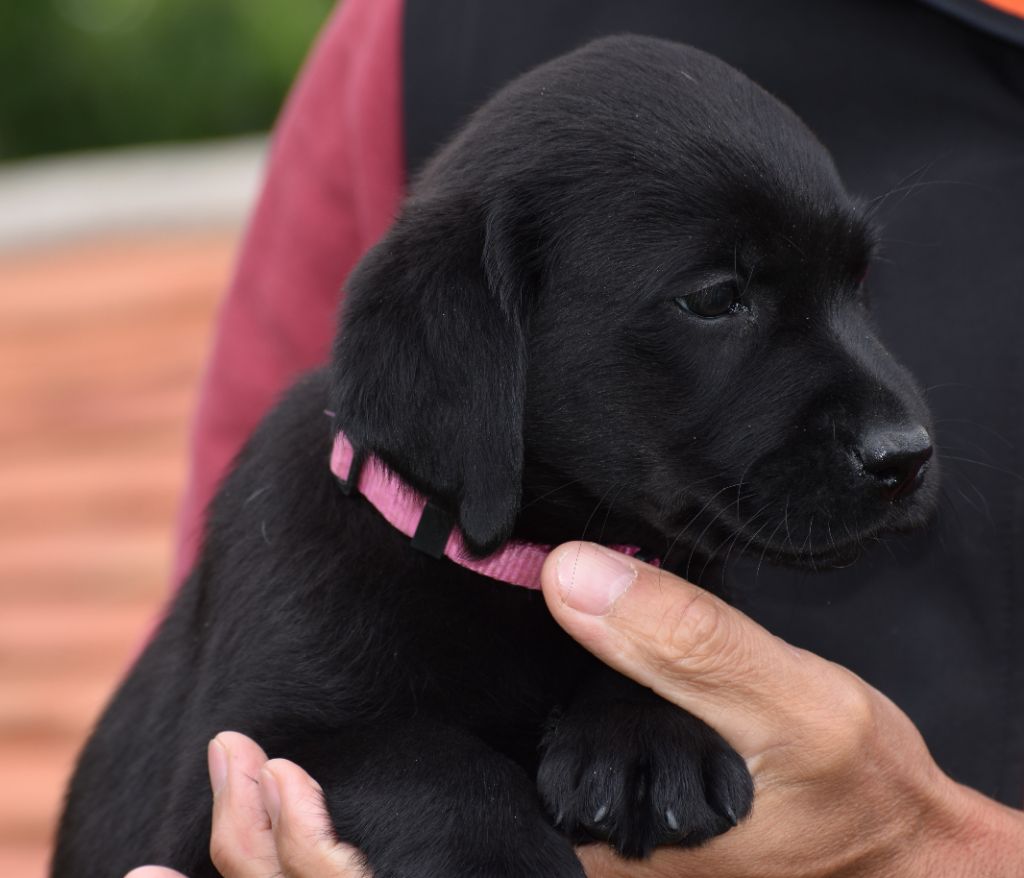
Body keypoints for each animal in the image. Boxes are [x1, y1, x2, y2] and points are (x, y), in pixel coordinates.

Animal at [52, 35, 937, 878]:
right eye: (717, 298)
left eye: (858, 282)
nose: (907, 456)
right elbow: (417, 755)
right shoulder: (240, 757)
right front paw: (501, 852)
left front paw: (647, 738)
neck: (511, 563)